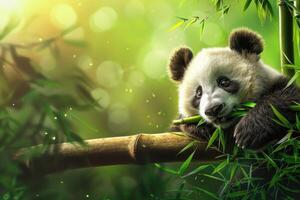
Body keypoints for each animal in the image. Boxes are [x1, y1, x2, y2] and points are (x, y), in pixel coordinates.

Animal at [169, 28, 300, 150]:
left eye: (223, 82)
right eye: (198, 93)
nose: (213, 109)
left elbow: (285, 99)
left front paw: (249, 130)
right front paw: (198, 126)